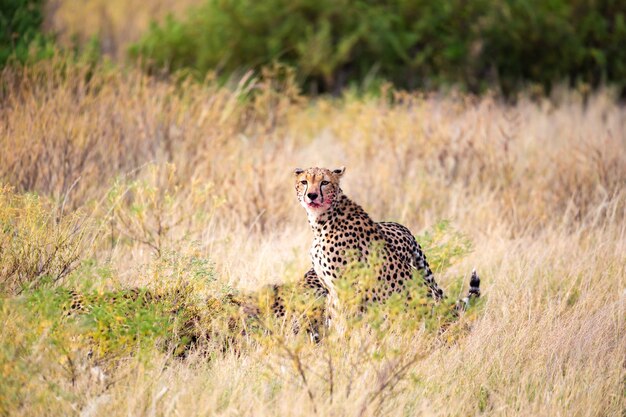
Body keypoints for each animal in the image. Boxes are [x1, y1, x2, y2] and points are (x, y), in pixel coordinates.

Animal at [292, 166, 478, 316]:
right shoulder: (330, 289)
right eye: (304, 182)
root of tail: (404, 228)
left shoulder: (348, 288)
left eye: (324, 182)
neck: (323, 221)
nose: (312, 195)